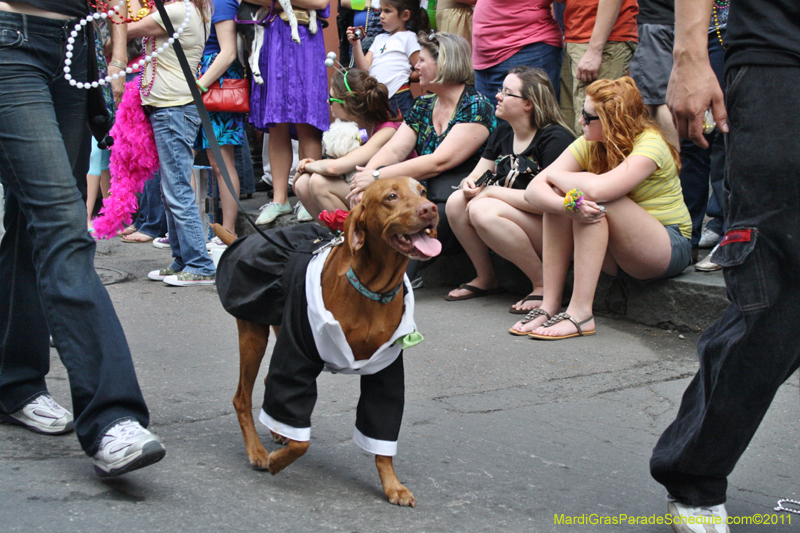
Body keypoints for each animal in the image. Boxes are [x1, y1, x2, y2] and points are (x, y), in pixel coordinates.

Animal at [214, 177, 438, 504]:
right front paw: (278, 461)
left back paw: (277, 434)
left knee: (268, 381)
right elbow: (300, 441)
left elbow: (382, 435)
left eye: (422, 191)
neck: (371, 290)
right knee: (242, 397)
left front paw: (392, 485)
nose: (431, 209)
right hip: (253, 333)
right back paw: (256, 450)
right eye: (391, 197)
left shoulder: (386, 368)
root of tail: (246, 240)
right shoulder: (297, 355)